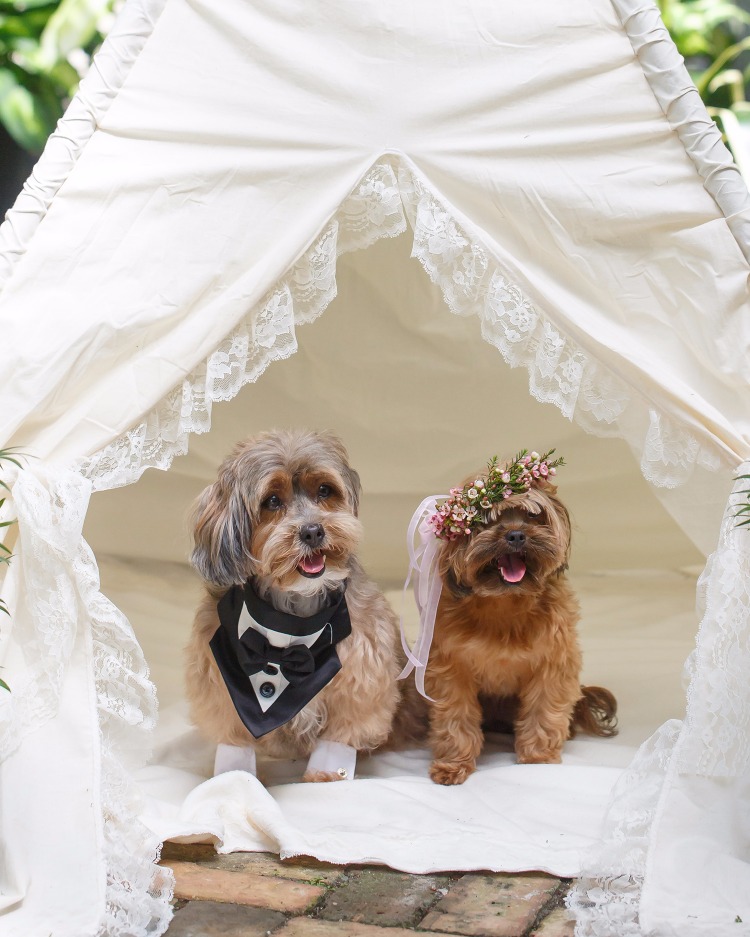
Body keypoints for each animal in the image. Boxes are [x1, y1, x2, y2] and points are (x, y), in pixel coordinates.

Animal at [185, 428, 402, 780]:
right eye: (272, 501)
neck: (292, 612)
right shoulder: (218, 675)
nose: (313, 531)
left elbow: (341, 733)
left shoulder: (361, 672)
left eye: (324, 490)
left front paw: (325, 777)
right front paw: (234, 778)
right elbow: (233, 737)